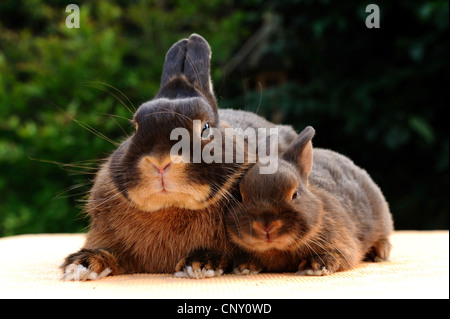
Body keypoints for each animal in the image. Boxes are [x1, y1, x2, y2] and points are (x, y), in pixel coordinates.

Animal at [227, 126, 392, 276]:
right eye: (239, 196)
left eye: (295, 194)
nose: (266, 226)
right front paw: (244, 267)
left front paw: (314, 267)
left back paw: (379, 253)